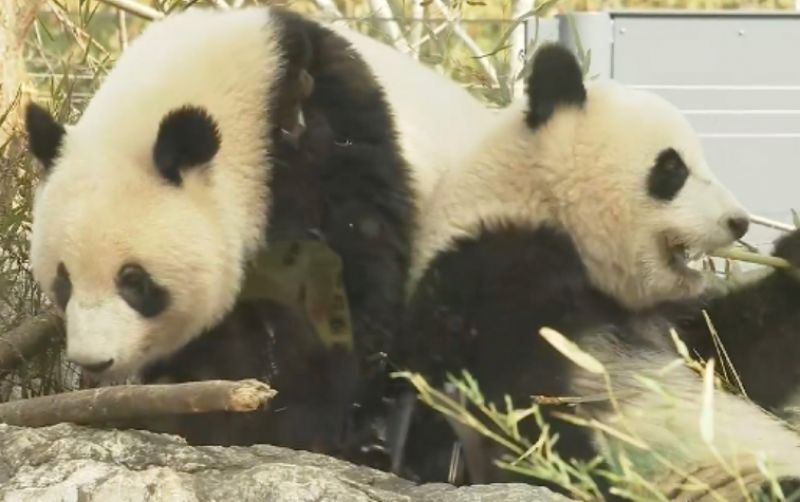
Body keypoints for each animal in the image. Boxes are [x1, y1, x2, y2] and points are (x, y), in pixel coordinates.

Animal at [23, 6, 495, 466]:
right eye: (63, 282)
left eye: (134, 280)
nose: (94, 360)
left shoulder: (328, 150)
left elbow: (341, 298)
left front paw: (287, 428)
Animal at [394, 43, 800, 499]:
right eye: (673, 168)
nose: (739, 222)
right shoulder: (490, 273)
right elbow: (522, 400)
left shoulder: (665, 320)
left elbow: (734, 358)